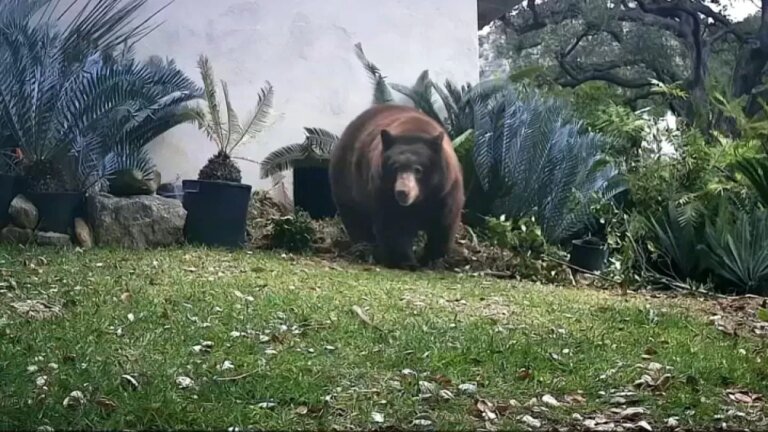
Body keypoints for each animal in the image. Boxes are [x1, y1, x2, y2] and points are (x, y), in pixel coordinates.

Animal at [328, 103, 465, 270]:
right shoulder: (382, 190)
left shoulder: (446, 190)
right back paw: (366, 250)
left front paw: (431, 260)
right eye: (395, 168)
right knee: (355, 218)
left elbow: (444, 223)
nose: (402, 192)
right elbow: (393, 226)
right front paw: (406, 261)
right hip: (346, 182)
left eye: (418, 170)